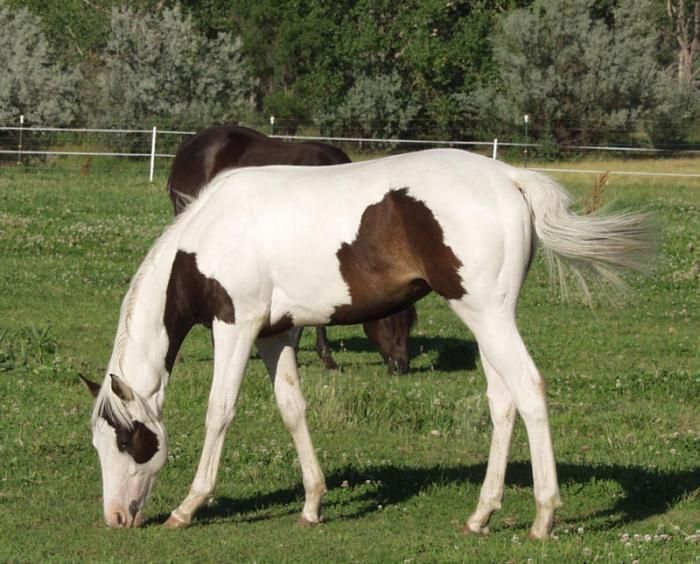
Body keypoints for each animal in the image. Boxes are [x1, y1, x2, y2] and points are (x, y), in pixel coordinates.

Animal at [82, 149, 652, 536]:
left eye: (127, 441)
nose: (116, 516)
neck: (206, 237)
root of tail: (509, 178)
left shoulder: (235, 326)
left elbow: (219, 411)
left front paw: (188, 507)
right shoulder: (274, 334)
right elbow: (292, 408)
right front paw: (312, 504)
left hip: (488, 314)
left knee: (529, 390)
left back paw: (542, 517)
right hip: (488, 318)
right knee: (503, 400)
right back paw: (481, 514)